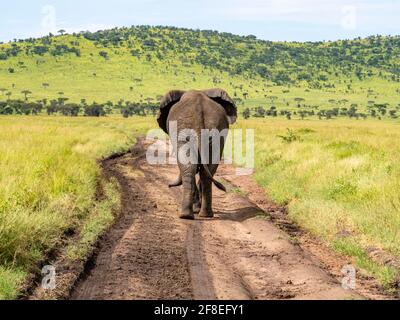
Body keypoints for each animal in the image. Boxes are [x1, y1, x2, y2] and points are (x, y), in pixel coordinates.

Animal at [157, 89, 238, 220]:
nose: (168, 185)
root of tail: (198, 111)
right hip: (215, 133)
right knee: (206, 170)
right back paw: (204, 215)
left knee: (190, 168)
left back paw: (188, 215)